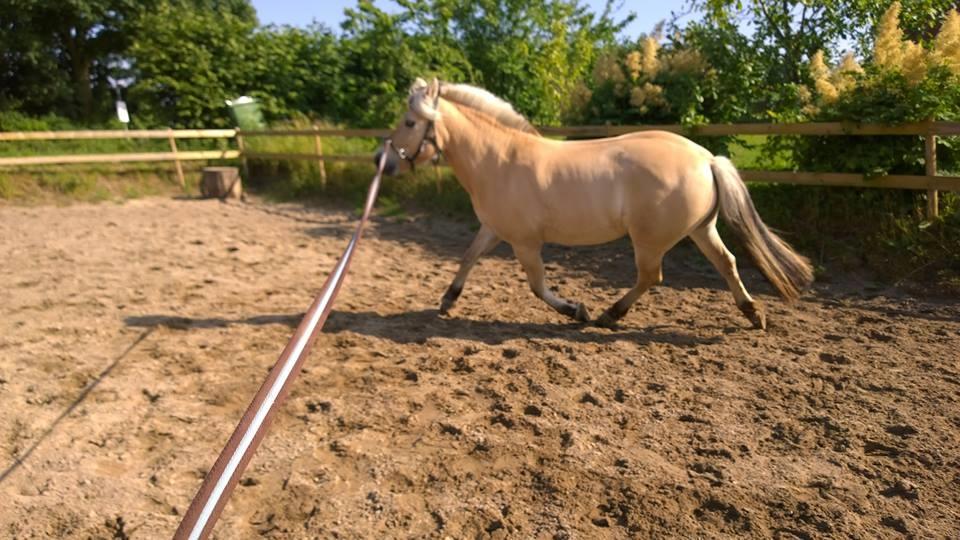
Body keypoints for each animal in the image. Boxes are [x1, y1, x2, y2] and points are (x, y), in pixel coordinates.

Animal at [376, 77, 808, 330]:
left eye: (410, 123)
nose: (384, 161)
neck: (498, 160)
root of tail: (705, 158)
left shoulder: (524, 242)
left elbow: (537, 286)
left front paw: (576, 310)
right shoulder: (494, 230)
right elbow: (468, 258)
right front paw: (447, 301)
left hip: (650, 240)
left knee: (651, 277)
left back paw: (607, 314)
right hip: (701, 230)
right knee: (727, 263)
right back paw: (753, 314)